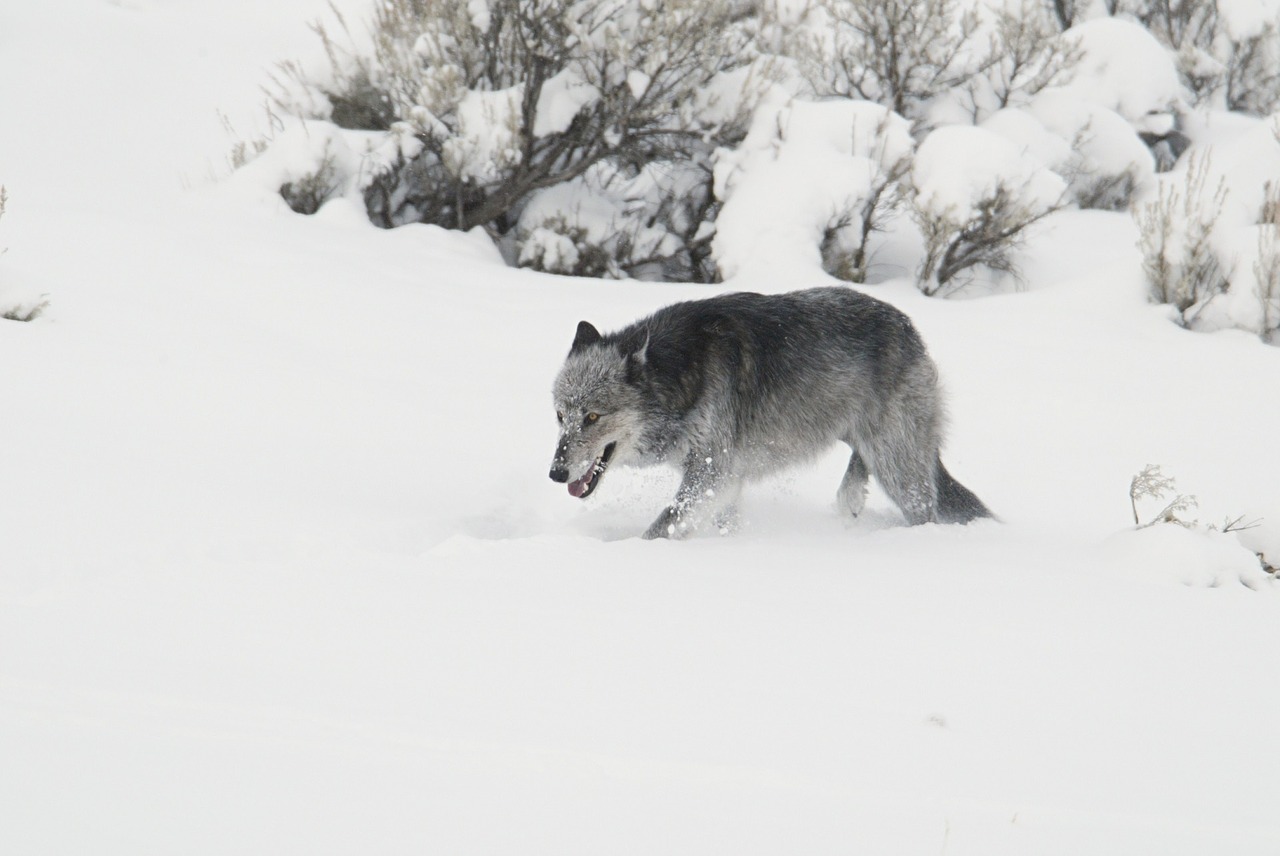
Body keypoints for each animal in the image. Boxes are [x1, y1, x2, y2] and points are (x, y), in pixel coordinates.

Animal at [550, 286, 988, 539]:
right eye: (560, 416)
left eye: (593, 417)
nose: (555, 473)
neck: (679, 375)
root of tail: (910, 329)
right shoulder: (721, 482)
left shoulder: (713, 474)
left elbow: (660, 528)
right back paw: (849, 503)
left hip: (898, 469)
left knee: (924, 511)